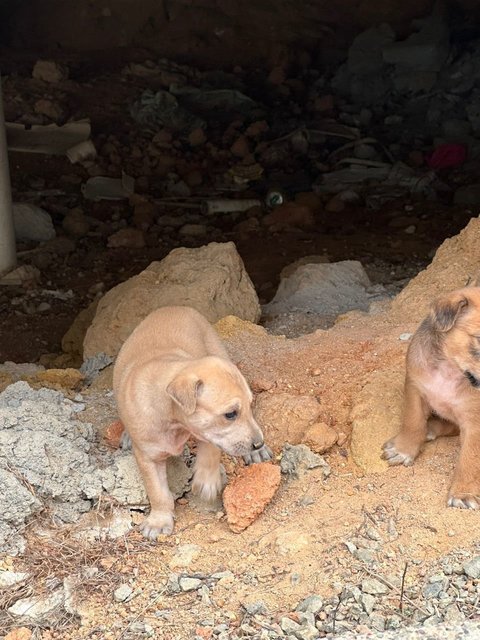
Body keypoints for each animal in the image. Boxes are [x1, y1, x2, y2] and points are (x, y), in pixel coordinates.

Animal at [112, 308, 270, 536]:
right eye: (231, 414)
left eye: (250, 404)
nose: (259, 443)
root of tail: (173, 307)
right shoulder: (148, 458)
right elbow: (157, 491)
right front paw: (158, 521)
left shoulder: (207, 431)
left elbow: (211, 450)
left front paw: (206, 480)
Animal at [384, 284, 480, 510]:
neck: (450, 369)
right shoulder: (415, 389)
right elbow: (413, 422)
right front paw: (404, 450)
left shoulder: (475, 420)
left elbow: (470, 457)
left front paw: (463, 491)